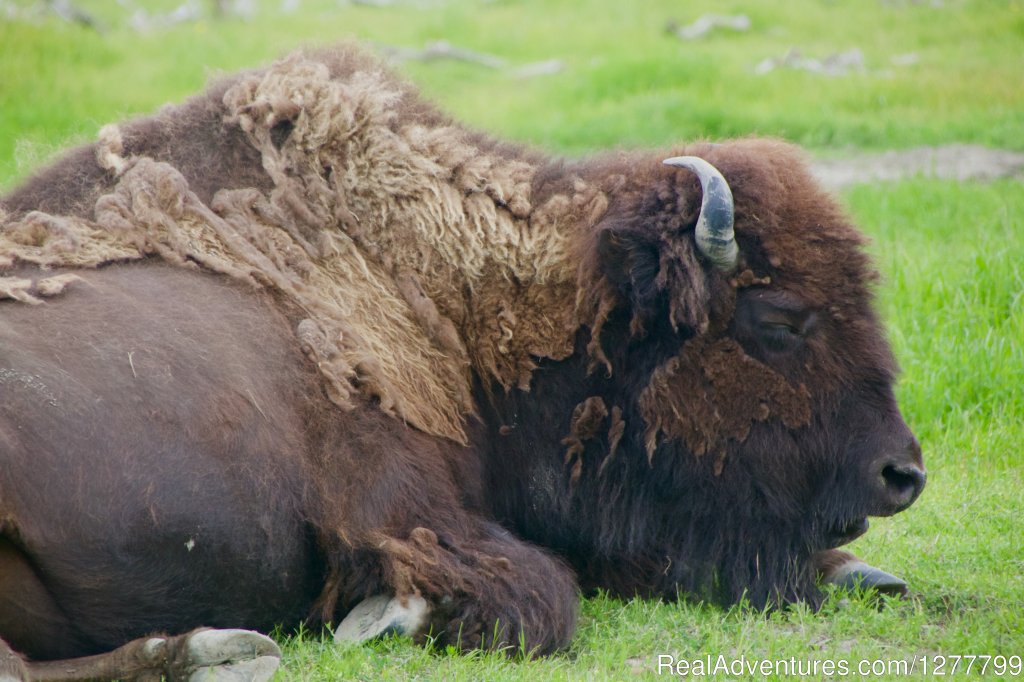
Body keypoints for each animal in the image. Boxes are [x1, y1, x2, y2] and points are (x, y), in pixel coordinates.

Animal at [0, 45, 925, 675]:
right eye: (782, 319)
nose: (902, 475)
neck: (455, 296)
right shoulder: (401, 502)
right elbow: (541, 593)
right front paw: (383, 616)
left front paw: (868, 573)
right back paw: (217, 650)